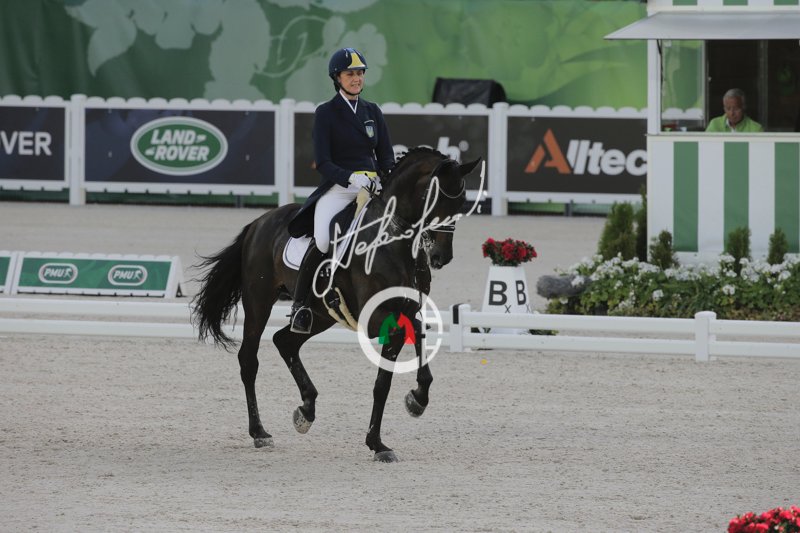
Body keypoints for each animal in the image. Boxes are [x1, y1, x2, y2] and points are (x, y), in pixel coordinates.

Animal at [192, 147, 481, 462]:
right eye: (435, 197)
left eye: (462, 202)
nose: (441, 256)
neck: (394, 241)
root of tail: (259, 222)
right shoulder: (375, 319)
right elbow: (384, 380)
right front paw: (378, 443)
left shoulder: (405, 310)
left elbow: (410, 347)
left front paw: (415, 401)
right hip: (259, 300)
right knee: (249, 359)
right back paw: (259, 432)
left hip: (320, 314)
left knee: (285, 342)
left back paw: (306, 410)